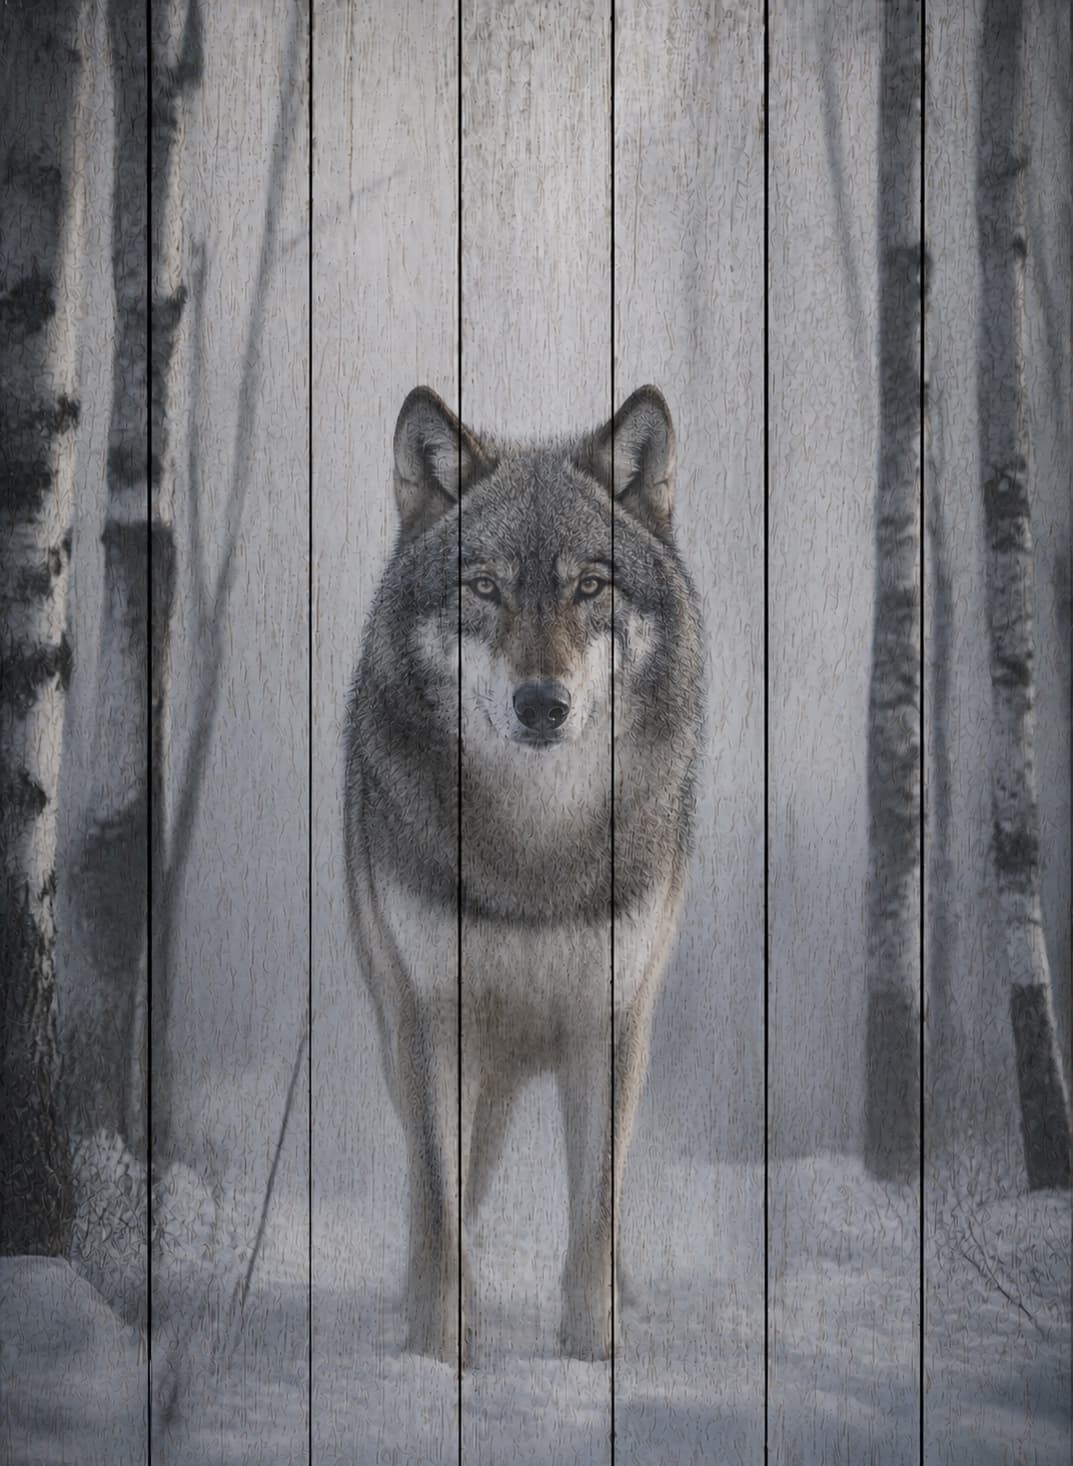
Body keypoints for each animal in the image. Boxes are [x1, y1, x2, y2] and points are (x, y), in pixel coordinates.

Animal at [343, 384, 702, 1365]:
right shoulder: (435, 1020)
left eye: (589, 585)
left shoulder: (613, 1022)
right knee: (438, 1188)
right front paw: (440, 1350)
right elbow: (441, 1201)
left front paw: (593, 1349)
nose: (542, 704)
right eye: (483, 586)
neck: (535, 847)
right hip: (406, 1034)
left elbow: (596, 1208)